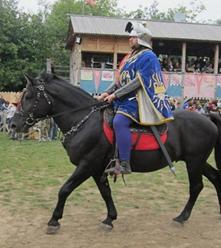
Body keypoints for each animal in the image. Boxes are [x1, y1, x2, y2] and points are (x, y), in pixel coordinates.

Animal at [10, 72, 221, 233]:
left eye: (28, 97)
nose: (13, 124)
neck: (84, 120)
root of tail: (206, 116)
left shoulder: (87, 164)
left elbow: (65, 189)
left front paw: (54, 220)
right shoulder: (97, 168)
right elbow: (105, 192)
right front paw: (110, 218)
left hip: (194, 162)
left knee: (196, 186)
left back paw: (181, 217)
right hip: (197, 162)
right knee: (215, 178)